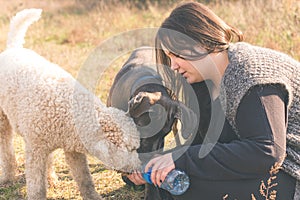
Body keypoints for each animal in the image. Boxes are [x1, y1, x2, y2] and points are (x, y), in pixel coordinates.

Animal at [0, 8, 141, 200]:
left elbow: (85, 180)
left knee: (48, 160)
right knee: (6, 149)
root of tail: (14, 48)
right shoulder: (36, 150)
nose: (139, 168)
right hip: (3, 121)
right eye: (130, 148)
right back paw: (8, 177)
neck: (67, 112)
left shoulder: (73, 150)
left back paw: (51, 179)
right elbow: (36, 187)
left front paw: (93, 197)